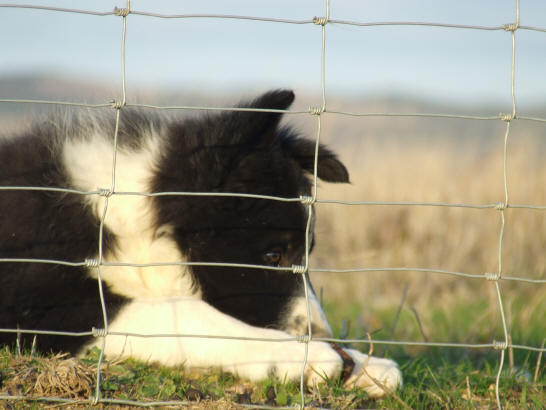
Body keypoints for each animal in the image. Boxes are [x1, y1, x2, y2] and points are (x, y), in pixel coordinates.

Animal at [0, 89, 400, 398]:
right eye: (274, 254)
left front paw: (364, 363)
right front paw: (309, 357)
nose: (324, 338)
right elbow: (185, 311)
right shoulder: (45, 308)